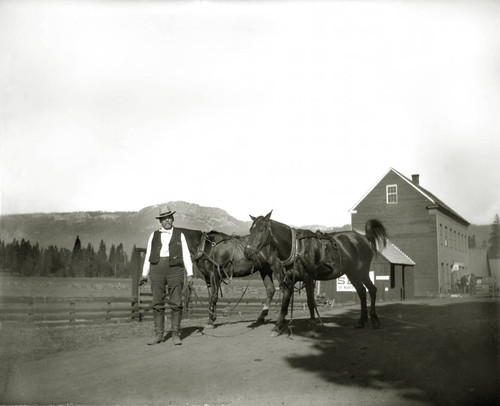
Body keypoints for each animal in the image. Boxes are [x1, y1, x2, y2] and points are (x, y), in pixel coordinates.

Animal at [244, 211, 388, 334]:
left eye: (262, 229)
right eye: (251, 229)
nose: (247, 252)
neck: (297, 249)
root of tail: (364, 238)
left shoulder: (308, 278)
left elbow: (310, 301)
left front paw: (313, 324)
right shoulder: (290, 279)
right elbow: (285, 302)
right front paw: (278, 325)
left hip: (361, 271)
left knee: (372, 289)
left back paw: (375, 320)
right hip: (352, 274)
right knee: (362, 292)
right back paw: (361, 321)